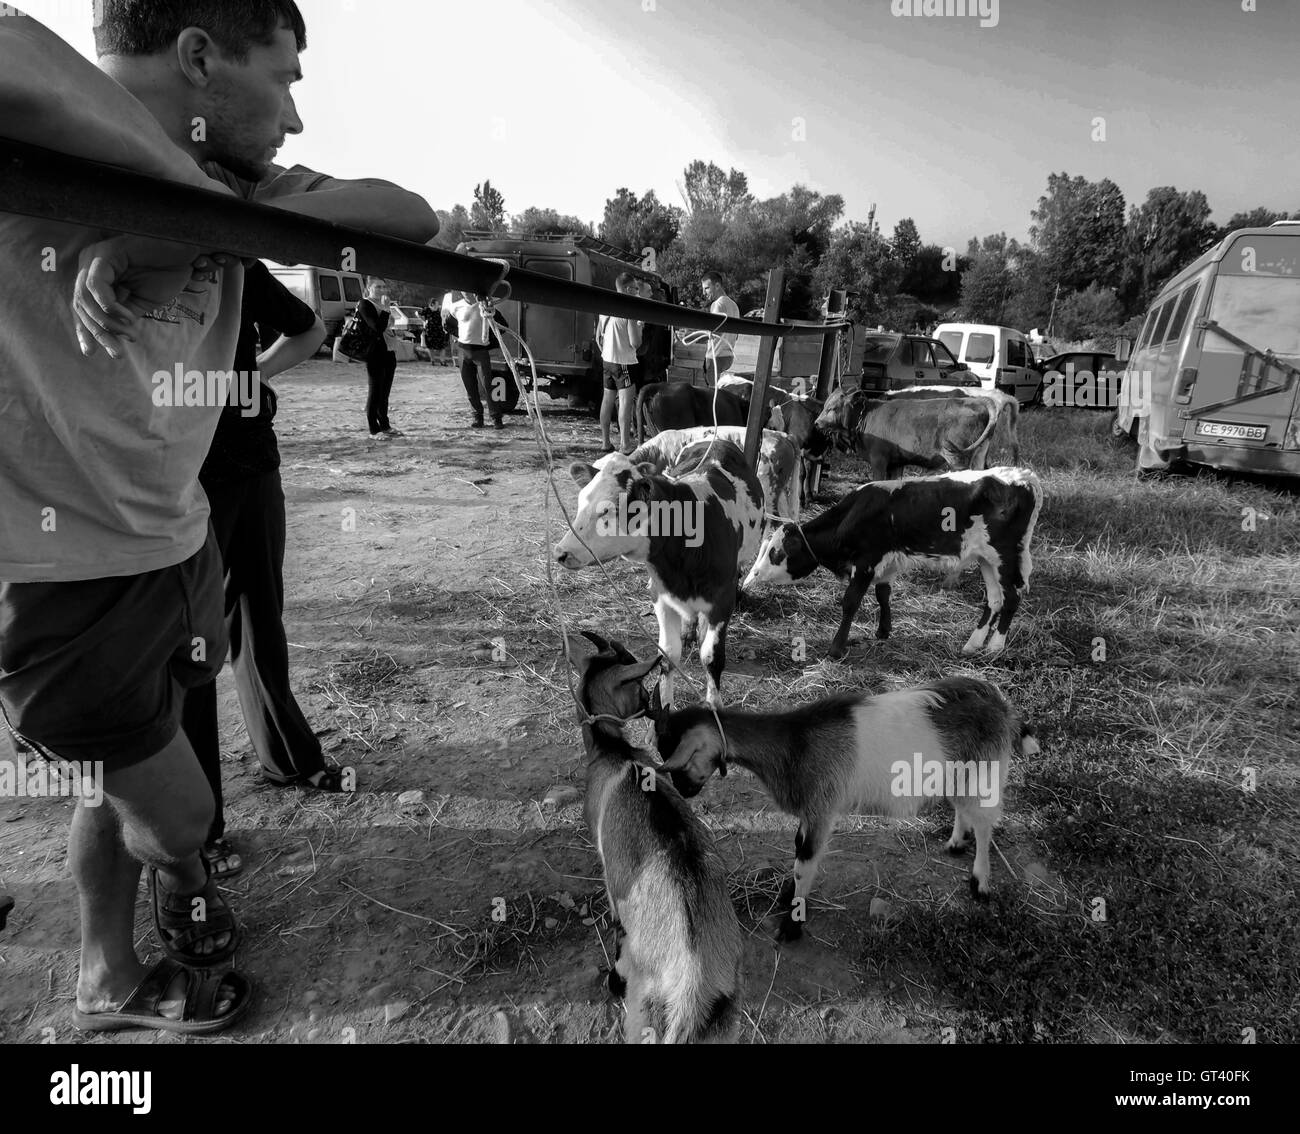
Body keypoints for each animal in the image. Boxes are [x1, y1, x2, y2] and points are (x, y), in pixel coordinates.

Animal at [556, 439, 759, 702]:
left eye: (608, 509)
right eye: (581, 502)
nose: (561, 552)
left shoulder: (721, 600)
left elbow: (711, 658)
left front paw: (714, 703)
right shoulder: (660, 595)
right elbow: (668, 655)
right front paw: (665, 704)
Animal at [569, 634, 743, 1040]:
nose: (651, 707)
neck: (616, 754)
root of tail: (692, 985)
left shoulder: (612, 886)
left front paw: (612, 978)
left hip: (646, 1010)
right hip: (724, 1020)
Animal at [748, 465, 1040, 660]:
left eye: (775, 552)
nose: (754, 575)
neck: (855, 512)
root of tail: (1023, 475)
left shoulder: (866, 561)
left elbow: (851, 602)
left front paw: (836, 649)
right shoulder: (886, 564)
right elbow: (883, 595)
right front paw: (883, 631)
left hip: (1006, 557)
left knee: (1012, 599)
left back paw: (995, 647)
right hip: (986, 559)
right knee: (994, 600)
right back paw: (973, 645)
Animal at [816, 387, 998, 481]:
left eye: (831, 408)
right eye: (824, 405)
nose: (816, 423)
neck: (865, 417)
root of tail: (977, 400)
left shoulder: (879, 461)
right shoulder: (897, 463)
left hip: (958, 459)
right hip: (979, 455)